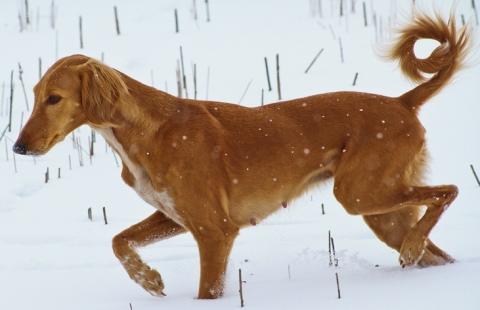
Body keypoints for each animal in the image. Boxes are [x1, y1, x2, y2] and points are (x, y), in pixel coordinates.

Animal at [14, 13, 468, 300]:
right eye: (35, 95)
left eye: (55, 99)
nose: (18, 148)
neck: (146, 131)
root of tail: (401, 102)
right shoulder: (175, 215)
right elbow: (118, 239)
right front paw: (149, 280)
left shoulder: (215, 231)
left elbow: (206, 291)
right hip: (381, 212)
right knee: (437, 247)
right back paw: (422, 258)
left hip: (360, 194)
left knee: (449, 190)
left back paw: (413, 249)